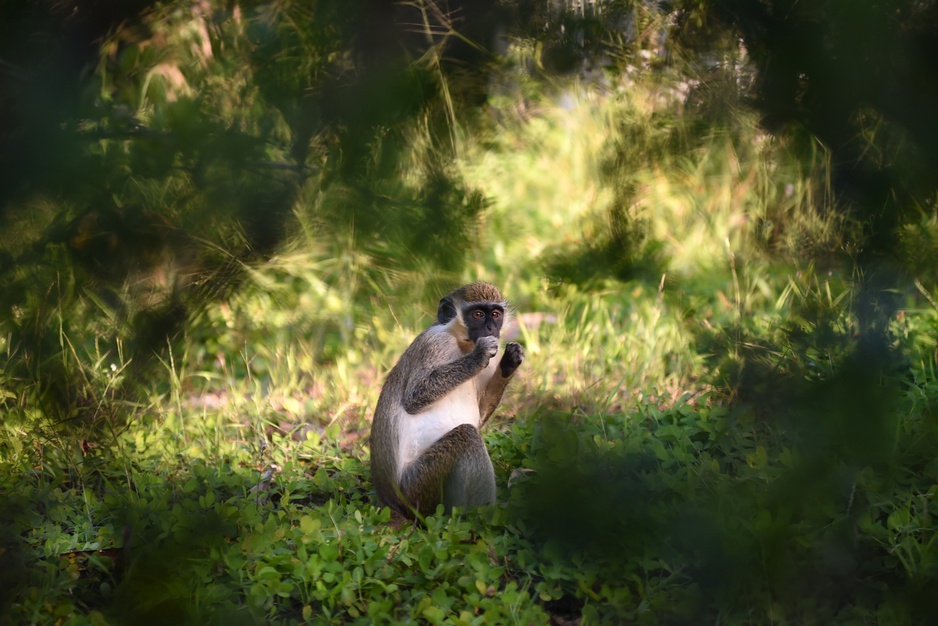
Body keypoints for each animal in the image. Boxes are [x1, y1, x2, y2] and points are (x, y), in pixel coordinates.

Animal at [370, 282, 524, 516]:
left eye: (495, 314)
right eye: (478, 315)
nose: (491, 329)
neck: (462, 344)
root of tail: (390, 501)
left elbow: (481, 415)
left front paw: (510, 361)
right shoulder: (435, 343)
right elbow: (414, 398)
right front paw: (479, 356)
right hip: (418, 486)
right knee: (467, 435)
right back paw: (484, 514)